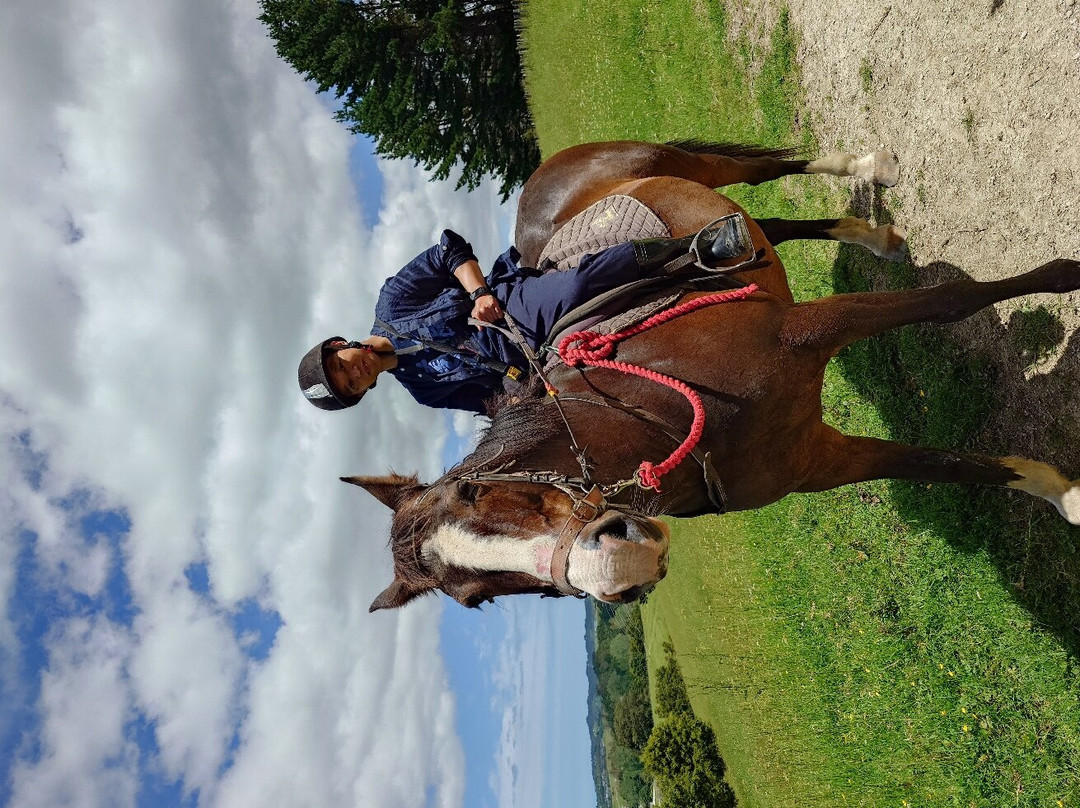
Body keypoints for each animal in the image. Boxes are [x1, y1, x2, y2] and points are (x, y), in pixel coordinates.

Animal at [345, 140, 1080, 611]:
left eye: (474, 495)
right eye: (477, 599)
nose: (614, 568)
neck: (659, 407)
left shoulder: (807, 332)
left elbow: (951, 302)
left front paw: (1062, 277)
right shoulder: (817, 461)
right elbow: (947, 466)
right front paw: (1061, 491)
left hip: (685, 163)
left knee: (768, 168)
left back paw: (865, 168)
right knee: (772, 226)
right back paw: (866, 237)